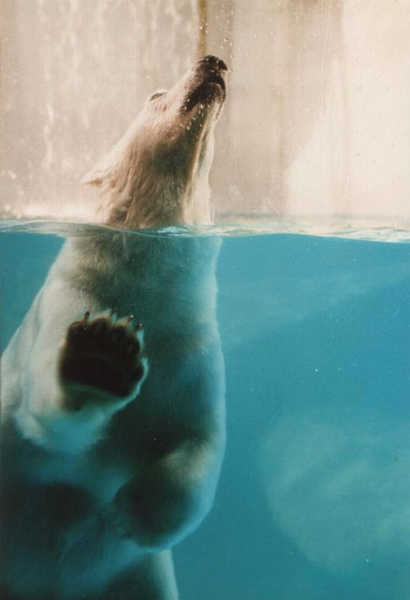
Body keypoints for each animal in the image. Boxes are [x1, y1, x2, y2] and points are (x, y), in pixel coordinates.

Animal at [0, 56, 227, 600]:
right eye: (154, 95)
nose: (212, 61)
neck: (144, 290)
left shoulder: (190, 346)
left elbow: (201, 443)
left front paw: (131, 513)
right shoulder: (69, 302)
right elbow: (47, 413)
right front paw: (102, 356)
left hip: (133, 580)